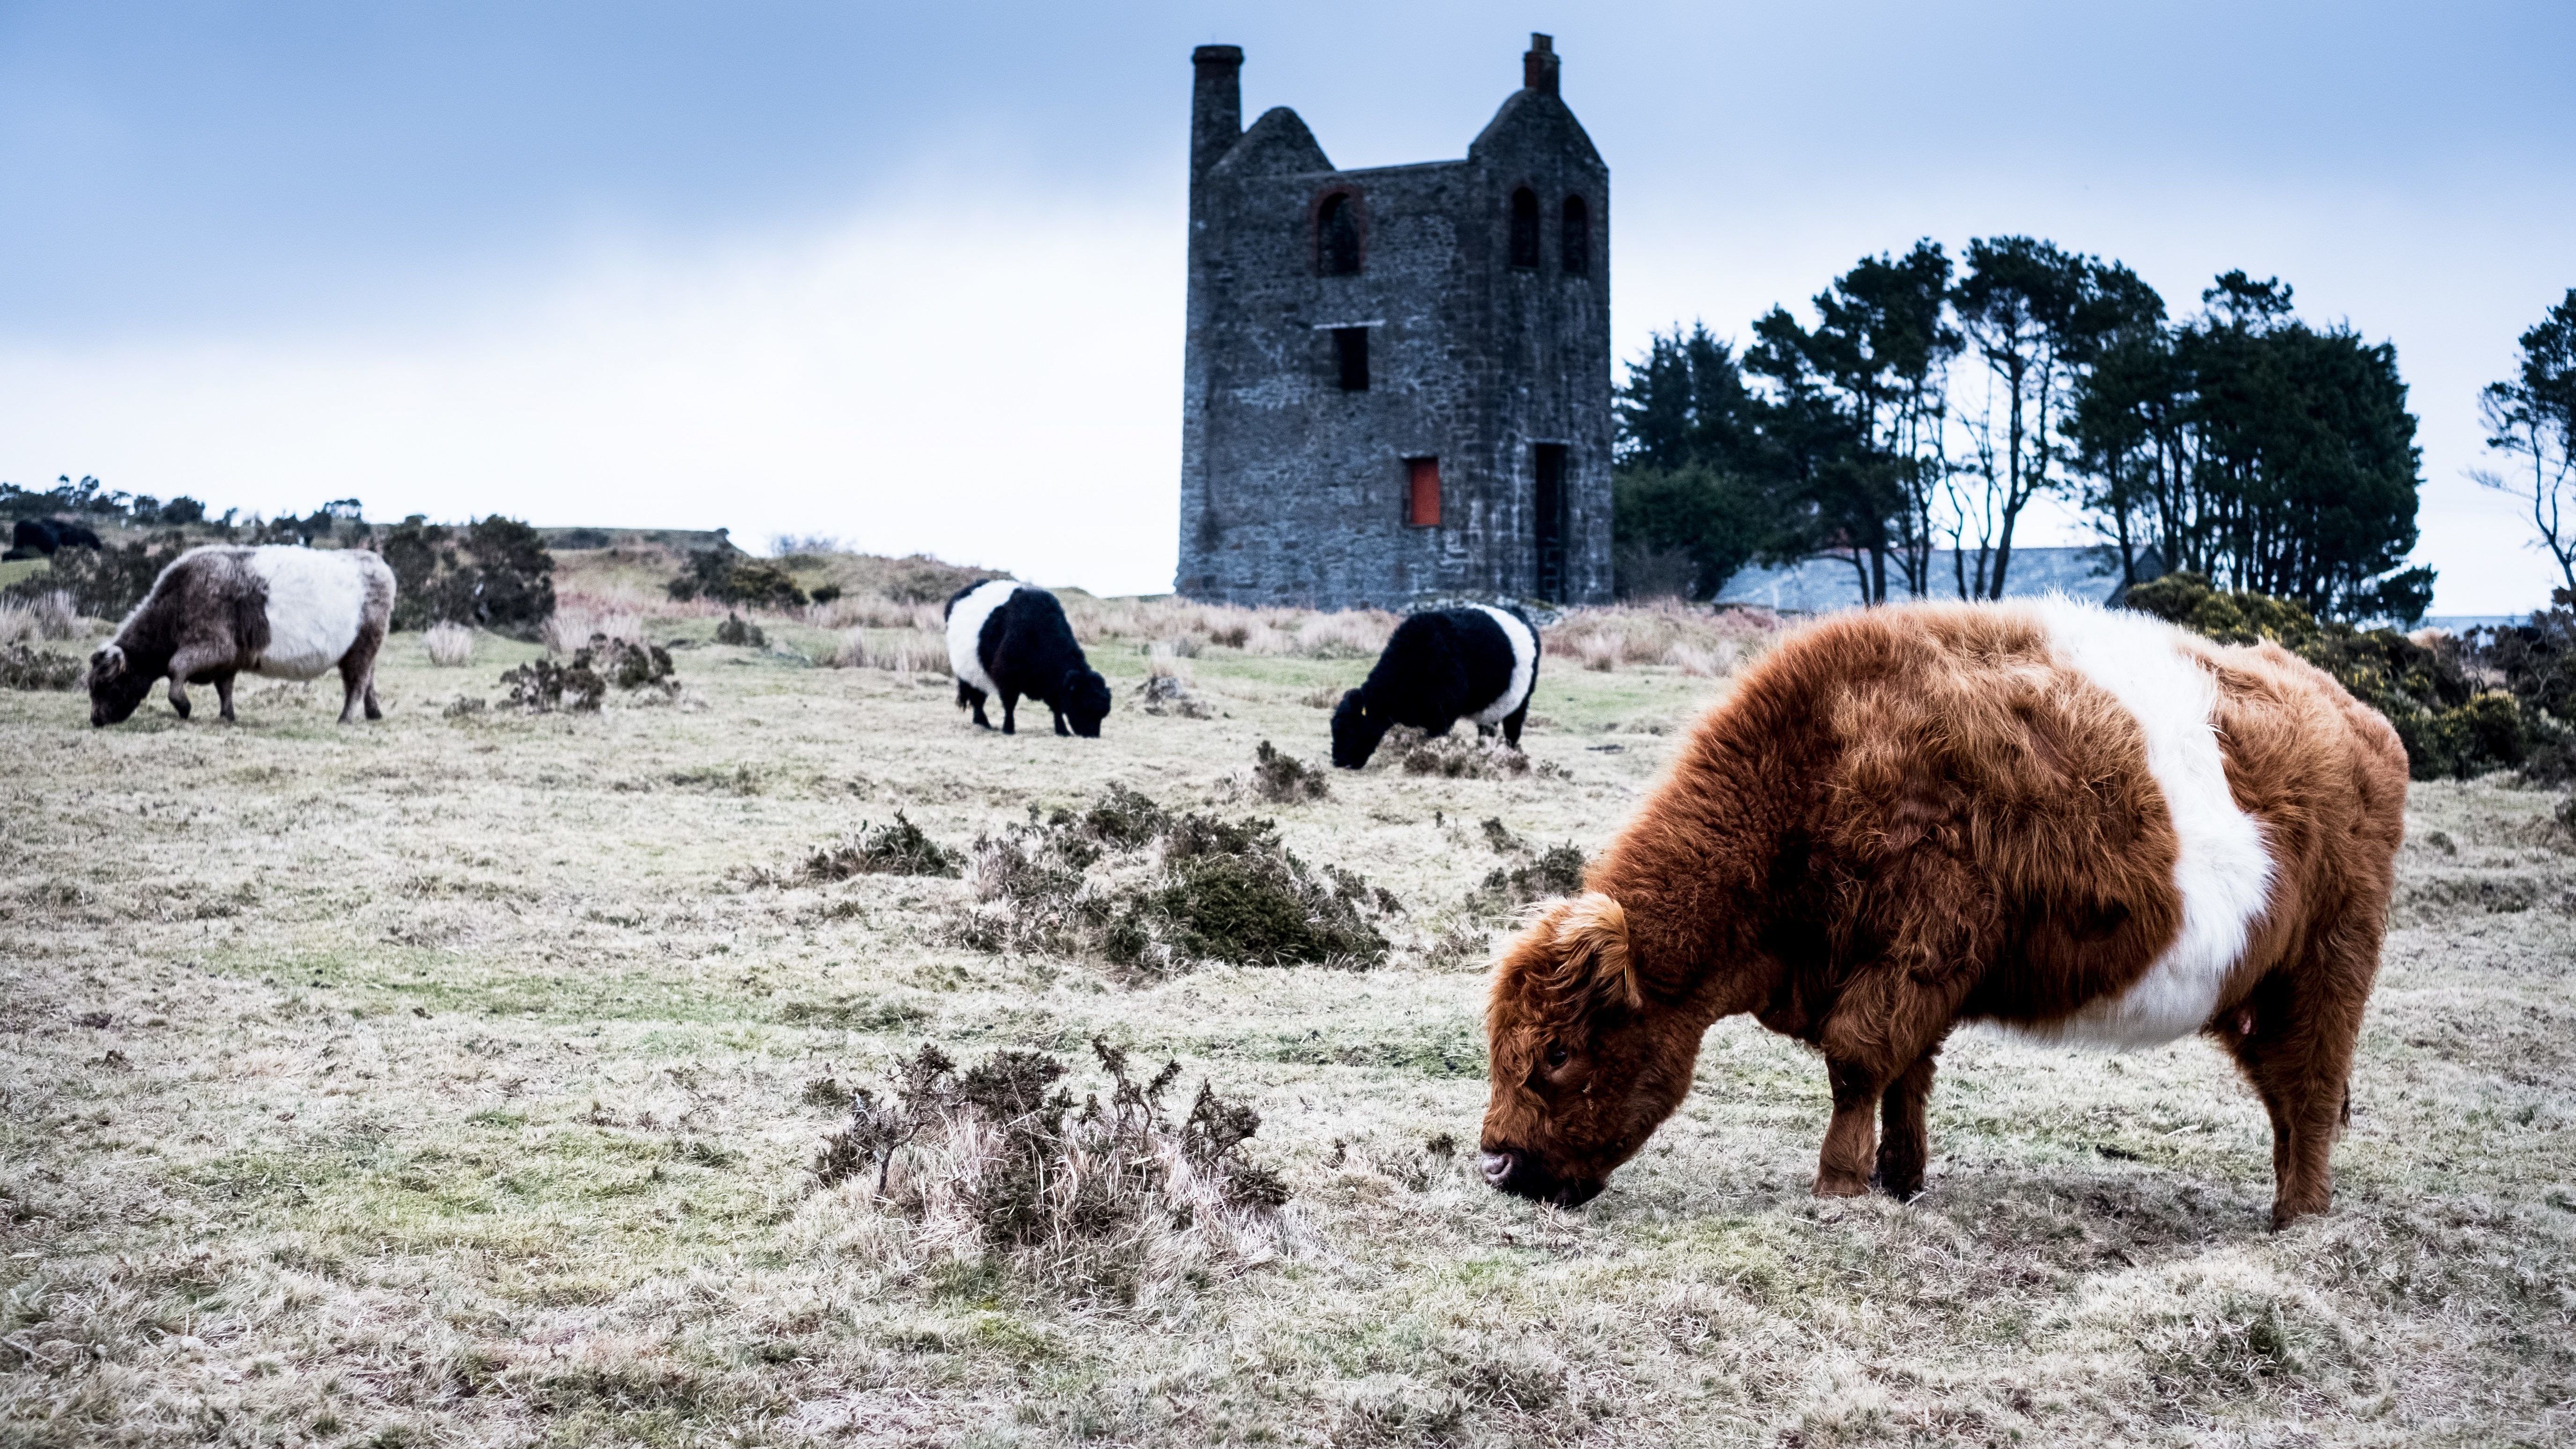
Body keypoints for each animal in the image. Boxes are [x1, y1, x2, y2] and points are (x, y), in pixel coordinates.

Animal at [89, 541, 397, 721]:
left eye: (105, 685)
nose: (95, 720)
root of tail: (375, 562)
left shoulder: (213, 647)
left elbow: (176, 667)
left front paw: (184, 707)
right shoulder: (228, 659)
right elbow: (224, 688)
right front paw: (227, 716)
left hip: (362, 648)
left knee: (356, 683)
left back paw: (346, 718)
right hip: (361, 651)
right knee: (368, 679)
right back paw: (374, 713)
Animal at [948, 575, 1108, 732]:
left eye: (1102, 714)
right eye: (1084, 707)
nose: (1093, 735)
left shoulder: (1053, 685)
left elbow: (1057, 707)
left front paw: (1062, 730)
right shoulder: (1008, 677)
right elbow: (1010, 704)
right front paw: (1008, 728)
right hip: (970, 675)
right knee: (977, 700)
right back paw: (982, 722)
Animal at [1340, 603, 1535, 773]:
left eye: (1352, 727)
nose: (1338, 761)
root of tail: (1517, 612)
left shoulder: (1443, 715)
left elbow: (1438, 742)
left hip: (1521, 703)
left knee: (1512, 732)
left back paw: (1509, 758)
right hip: (1491, 709)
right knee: (1488, 734)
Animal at [1484, 593, 2401, 1222]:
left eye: (1559, 1051)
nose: (1496, 1161)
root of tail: (2357, 714)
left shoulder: (1912, 956)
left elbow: (1858, 1064)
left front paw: (1839, 1184)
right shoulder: (1916, 976)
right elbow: (1906, 1080)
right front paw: (1900, 1179)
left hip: (2329, 969)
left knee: (2311, 1090)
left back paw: (2298, 1220)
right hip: (2259, 997)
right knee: (2287, 1099)